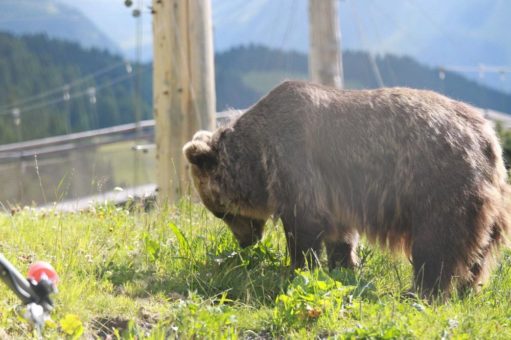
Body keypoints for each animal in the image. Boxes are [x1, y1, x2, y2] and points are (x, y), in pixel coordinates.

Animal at [182, 80, 510, 298]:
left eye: (220, 213)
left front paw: (297, 268)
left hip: (438, 181)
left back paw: (421, 290)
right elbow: (340, 233)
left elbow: (303, 225)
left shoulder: (297, 162)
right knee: (478, 250)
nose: (246, 242)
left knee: (437, 243)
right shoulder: (336, 191)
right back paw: (468, 287)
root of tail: (487, 137)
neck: (259, 158)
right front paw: (344, 265)